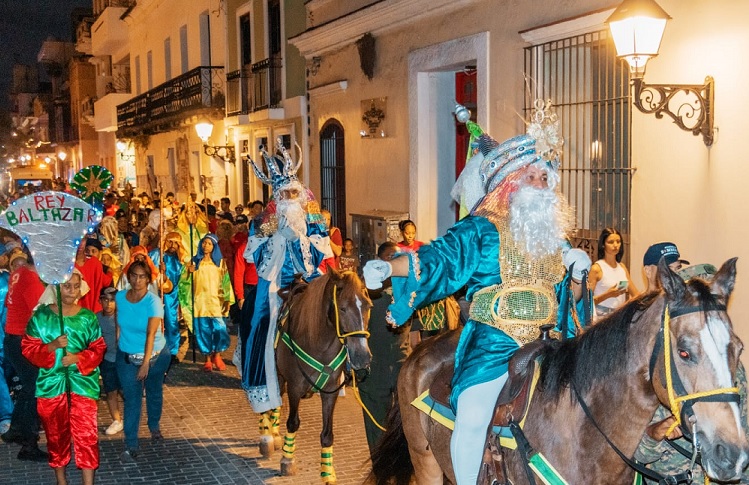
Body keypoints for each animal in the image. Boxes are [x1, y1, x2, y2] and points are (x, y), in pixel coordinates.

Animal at [270, 270, 372, 482]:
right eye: (342, 308)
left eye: (368, 306)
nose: (362, 358)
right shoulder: (294, 387)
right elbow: (293, 423)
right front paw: (287, 460)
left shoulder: (330, 392)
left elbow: (327, 434)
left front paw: (327, 473)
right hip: (278, 375)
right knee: (275, 402)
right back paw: (270, 436)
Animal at [372, 260, 744, 482]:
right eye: (684, 351)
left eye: (738, 348)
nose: (733, 456)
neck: (585, 435)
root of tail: (422, 350)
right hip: (426, 463)